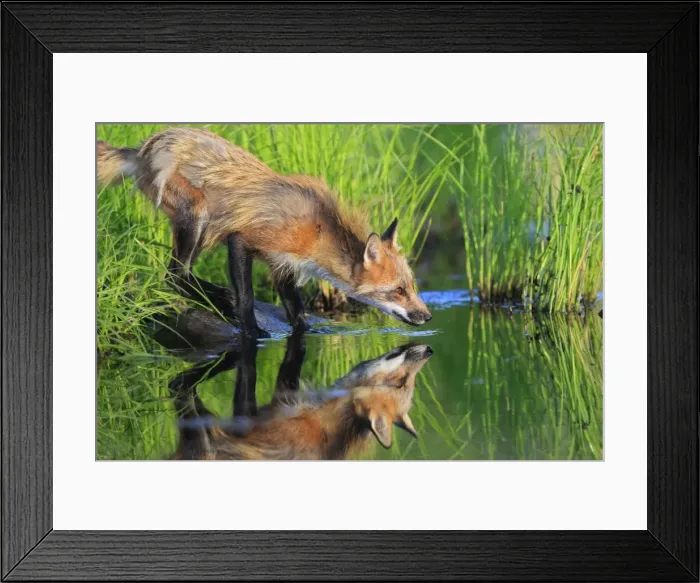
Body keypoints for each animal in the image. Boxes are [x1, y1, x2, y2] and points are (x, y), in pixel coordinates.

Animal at [97, 127, 432, 337]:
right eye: (398, 291)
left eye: (412, 286)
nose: (428, 317)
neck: (318, 231)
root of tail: (143, 148)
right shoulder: (243, 240)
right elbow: (246, 296)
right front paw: (252, 331)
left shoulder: (283, 267)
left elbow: (298, 314)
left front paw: (309, 332)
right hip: (197, 218)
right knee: (175, 276)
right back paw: (222, 300)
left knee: (179, 275)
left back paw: (219, 297)